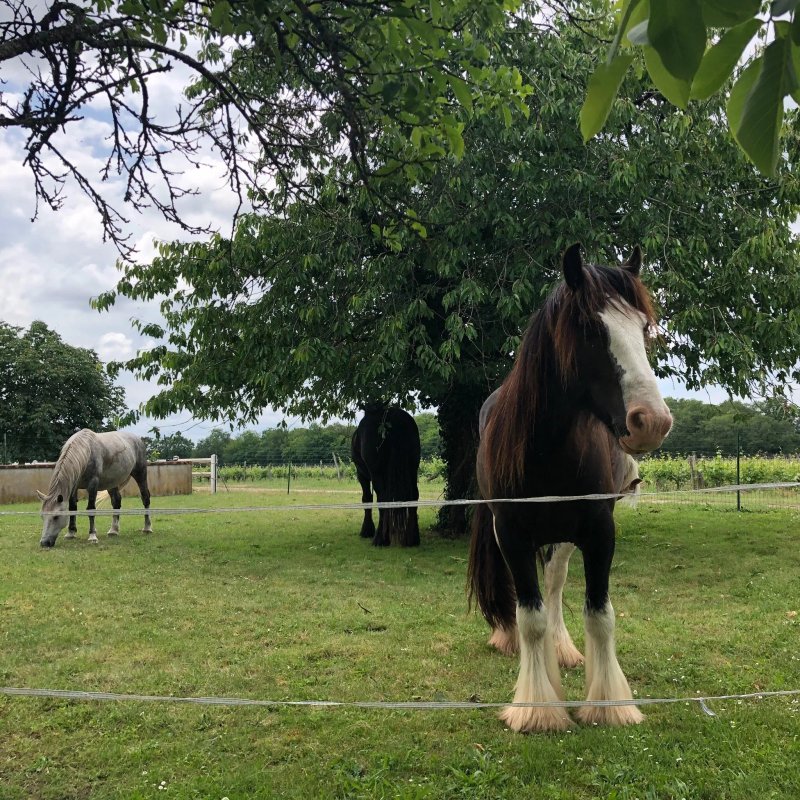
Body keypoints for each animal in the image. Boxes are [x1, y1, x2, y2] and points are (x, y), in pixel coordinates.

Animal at [351, 405, 421, 547]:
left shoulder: (361, 474)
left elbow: (366, 498)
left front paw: (367, 530)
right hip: (413, 469)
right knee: (413, 496)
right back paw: (412, 538)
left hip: (376, 473)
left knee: (382, 497)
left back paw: (380, 539)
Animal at [467, 243, 672, 732]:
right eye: (590, 328)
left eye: (643, 327)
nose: (651, 421)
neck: (547, 447)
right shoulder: (512, 535)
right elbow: (530, 617)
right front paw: (538, 708)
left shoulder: (599, 533)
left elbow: (600, 615)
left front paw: (609, 704)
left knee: (556, 582)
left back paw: (561, 651)